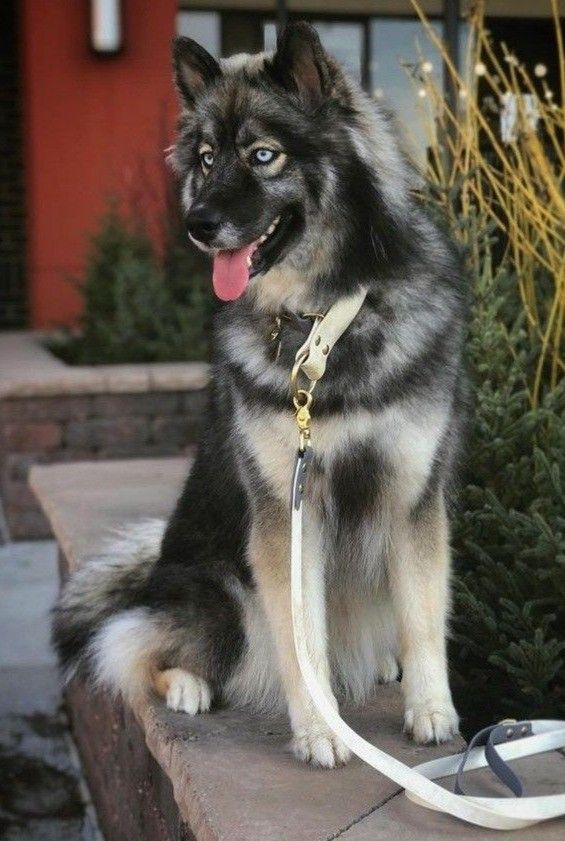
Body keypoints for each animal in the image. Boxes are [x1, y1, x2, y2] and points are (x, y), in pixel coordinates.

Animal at [53, 21, 468, 768]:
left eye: (263, 155)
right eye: (206, 158)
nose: (196, 223)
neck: (324, 323)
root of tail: (155, 574)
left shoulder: (411, 498)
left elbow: (424, 619)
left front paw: (431, 711)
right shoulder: (285, 513)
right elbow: (301, 638)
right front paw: (319, 729)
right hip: (220, 591)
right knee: (145, 648)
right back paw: (188, 684)